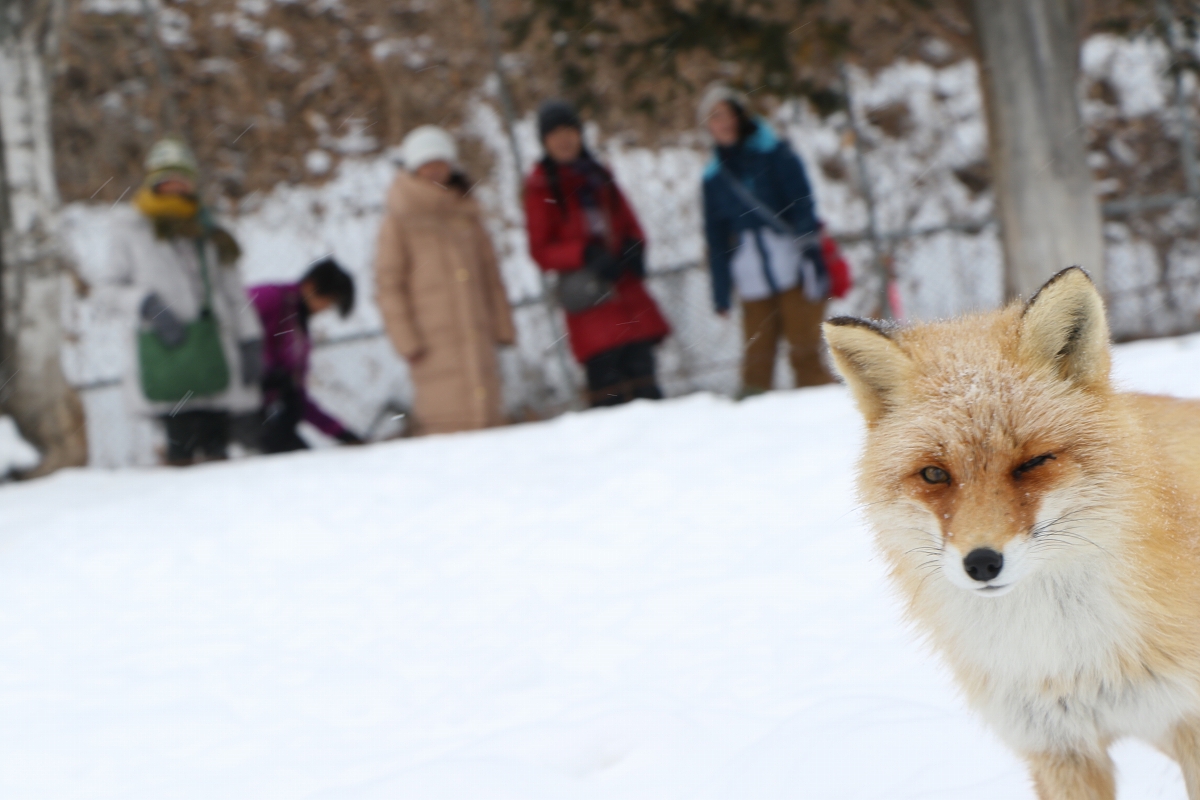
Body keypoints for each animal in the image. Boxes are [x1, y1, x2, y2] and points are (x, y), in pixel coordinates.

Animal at [825, 266, 1200, 796]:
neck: (1068, 658)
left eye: (1033, 463)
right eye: (934, 474)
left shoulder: (1187, 723)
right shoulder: (1058, 746)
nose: (982, 563)